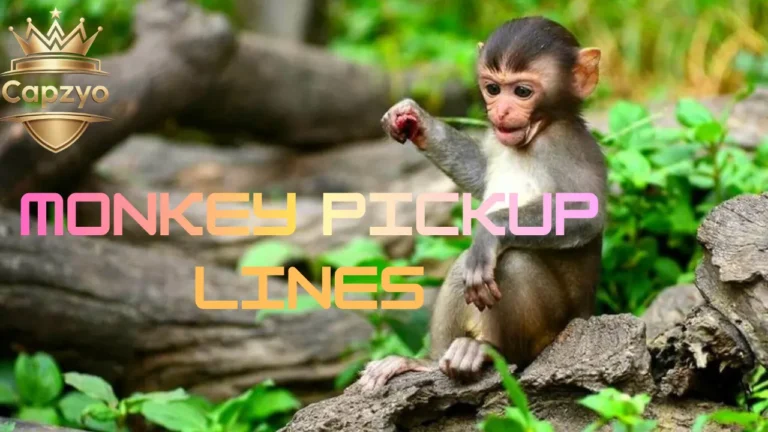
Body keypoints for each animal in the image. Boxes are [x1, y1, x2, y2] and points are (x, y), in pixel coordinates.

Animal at [358, 16, 606, 391]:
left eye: (522, 92)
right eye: (492, 88)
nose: (501, 110)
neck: (538, 132)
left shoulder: (567, 148)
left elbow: (584, 216)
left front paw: (491, 232)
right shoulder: (497, 140)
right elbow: (479, 176)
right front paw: (417, 121)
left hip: (554, 329)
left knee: (510, 262)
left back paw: (490, 352)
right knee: (465, 265)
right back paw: (426, 363)